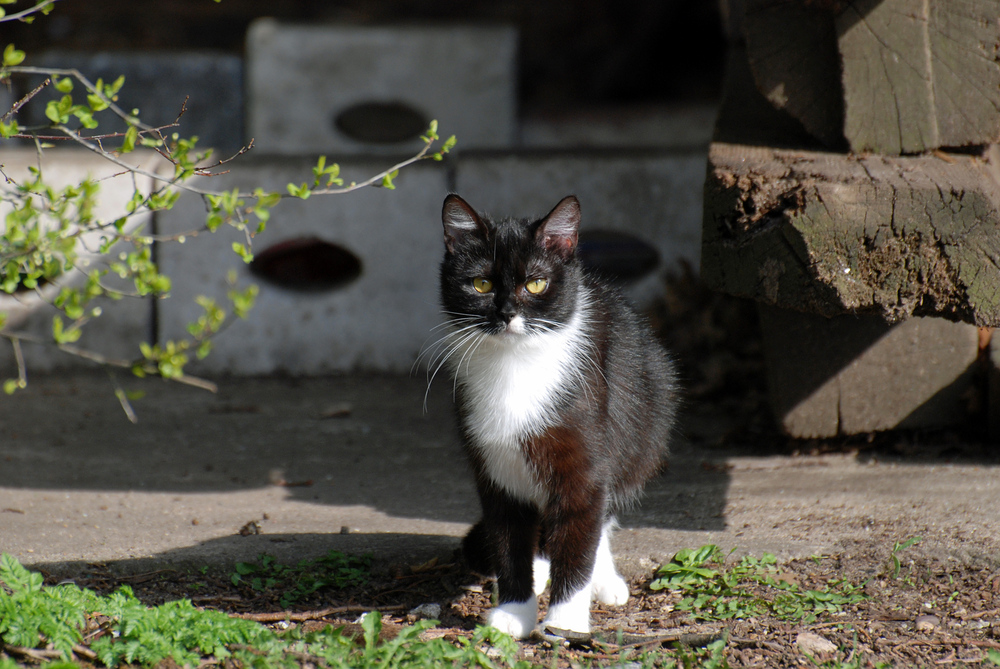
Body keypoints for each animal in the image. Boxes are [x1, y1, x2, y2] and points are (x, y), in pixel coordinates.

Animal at [432, 193, 676, 636]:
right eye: (481, 284)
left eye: (536, 283)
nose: (507, 313)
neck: (515, 366)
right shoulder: (495, 469)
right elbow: (508, 539)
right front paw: (513, 613)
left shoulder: (585, 460)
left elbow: (582, 532)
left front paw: (566, 621)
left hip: (643, 430)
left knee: (599, 515)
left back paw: (602, 579)